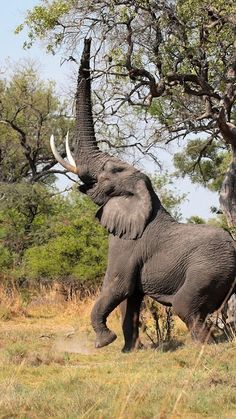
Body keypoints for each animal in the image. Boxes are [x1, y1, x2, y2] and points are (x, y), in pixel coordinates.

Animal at [50, 39, 236, 352]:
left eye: (110, 171)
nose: (88, 39)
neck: (145, 196)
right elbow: (131, 300)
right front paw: (129, 350)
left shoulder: (127, 245)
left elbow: (118, 286)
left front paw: (104, 342)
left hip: (208, 269)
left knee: (187, 308)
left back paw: (204, 348)